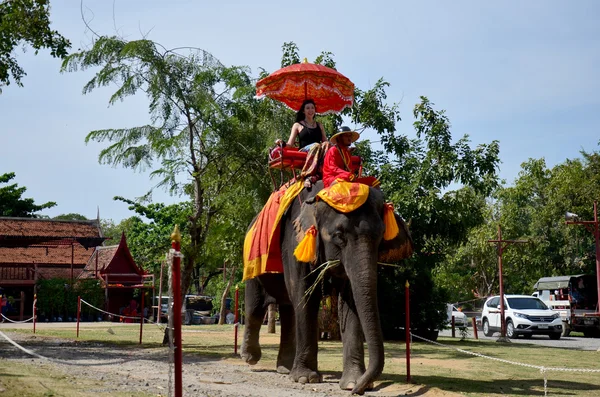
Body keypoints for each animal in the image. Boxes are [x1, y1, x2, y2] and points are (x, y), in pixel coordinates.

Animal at [240, 181, 412, 394]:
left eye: (381, 236)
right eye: (339, 235)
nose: (359, 391)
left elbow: (350, 301)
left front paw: (352, 382)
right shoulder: (294, 242)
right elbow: (304, 296)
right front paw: (306, 379)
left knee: (288, 310)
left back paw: (285, 368)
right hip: (252, 262)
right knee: (255, 306)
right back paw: (250, 358)